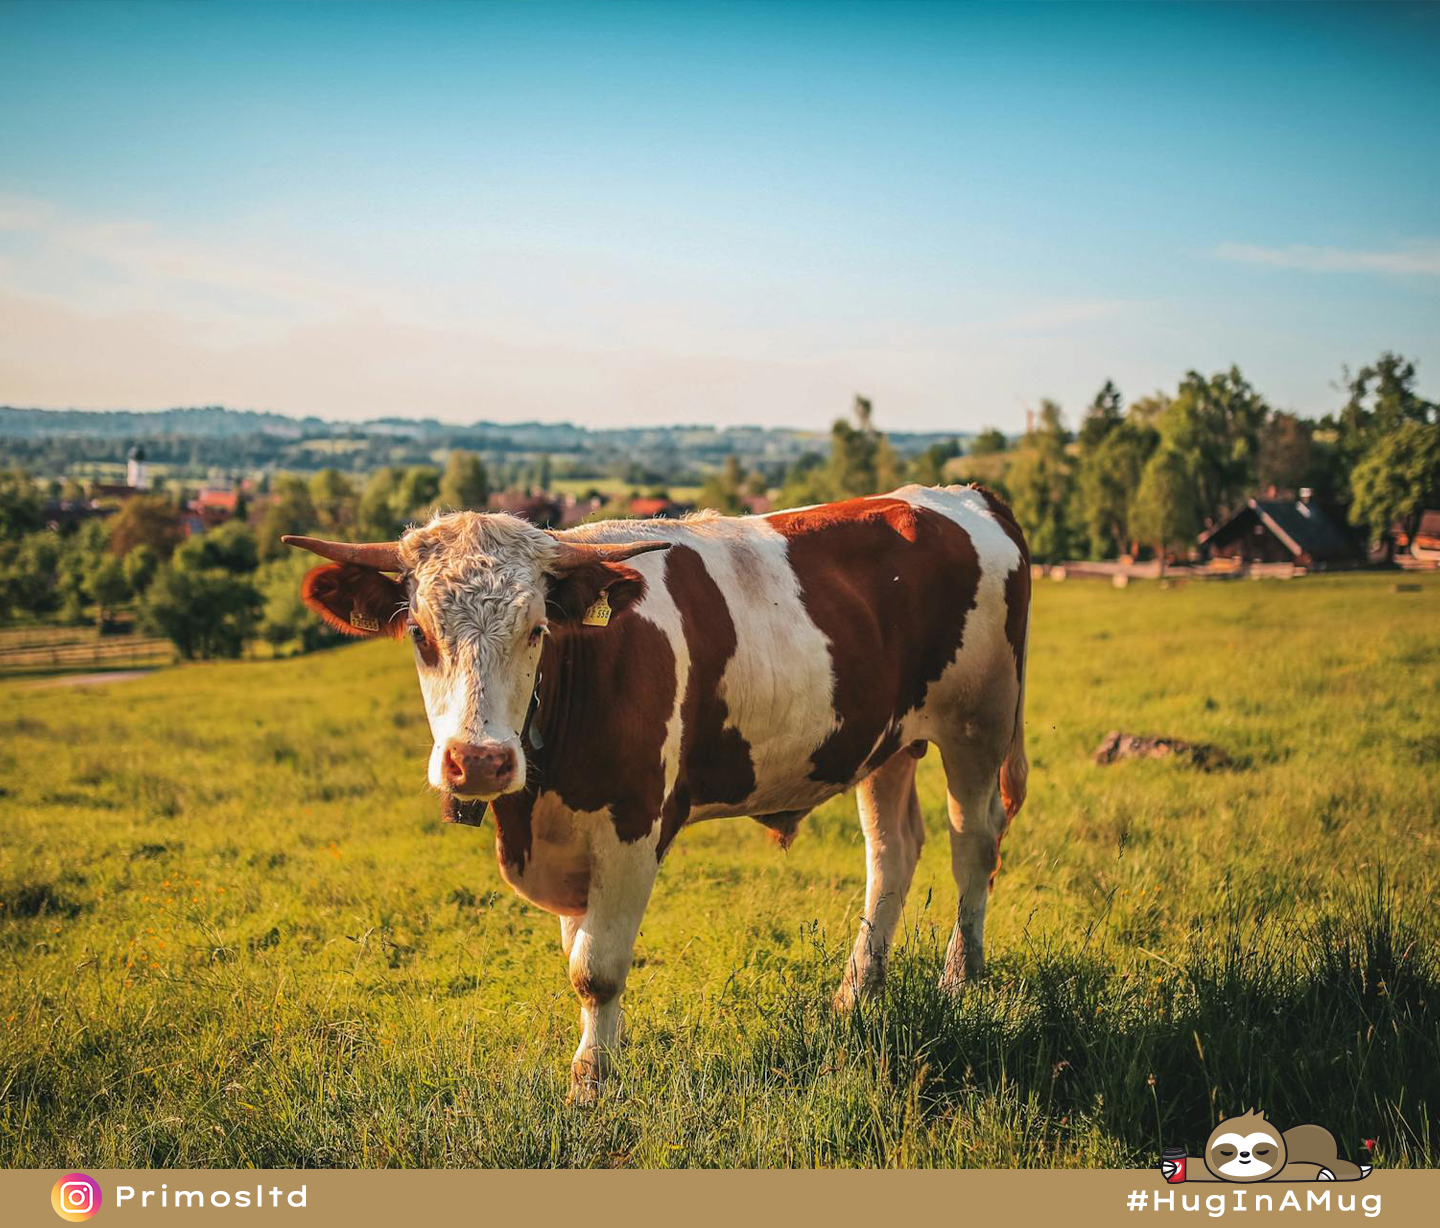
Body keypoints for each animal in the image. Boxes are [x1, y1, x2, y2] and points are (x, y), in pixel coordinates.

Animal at [284, 483, 1029, 1101]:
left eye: (536, 630)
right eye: (419, 633)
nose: (479, 761)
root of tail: (961, 494)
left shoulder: (633, 825)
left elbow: (597, 969)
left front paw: (592, 1085)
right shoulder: (570, 848)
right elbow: (578, 953)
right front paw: (599, 1061)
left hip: (979, 721)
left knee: (973, 844)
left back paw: (961, 979)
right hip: (887, 743)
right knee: (891, 852)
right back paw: (857, 992)